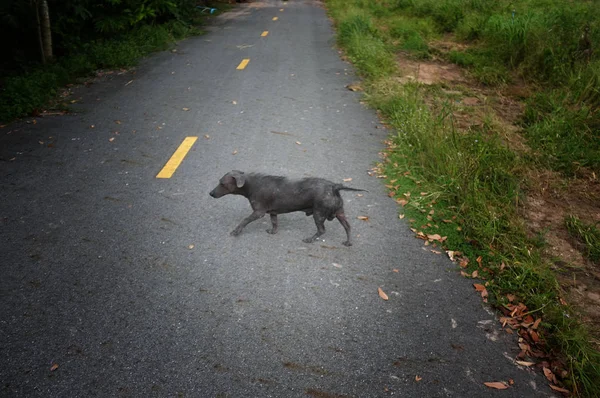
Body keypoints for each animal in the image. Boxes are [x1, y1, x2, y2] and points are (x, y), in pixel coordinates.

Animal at [209, 170, 368, 246]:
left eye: (222, 183)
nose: (210, 193)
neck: (251, 184)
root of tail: (334, 186)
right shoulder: (272, 212)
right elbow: (274, 223)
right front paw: (273, 231)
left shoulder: (259, 212)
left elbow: (244, 220)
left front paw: (236, 231)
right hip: (340, 213)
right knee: (348, 227)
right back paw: (348, 242)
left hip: (319, 214)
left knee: (322, 230)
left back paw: (310, 239)